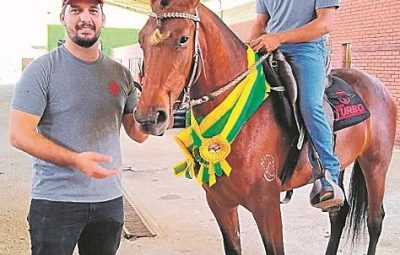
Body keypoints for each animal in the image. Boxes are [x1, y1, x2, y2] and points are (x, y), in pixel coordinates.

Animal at [134, 0, 396, 254]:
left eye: (183, 39)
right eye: (141, 40)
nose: (149, 117)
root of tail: (377, 85)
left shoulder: (266, 205)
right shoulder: (220, 203)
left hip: (375, 164)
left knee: (375, 221)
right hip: (340, 165)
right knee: (339, 214)